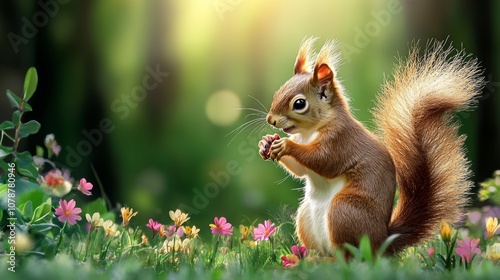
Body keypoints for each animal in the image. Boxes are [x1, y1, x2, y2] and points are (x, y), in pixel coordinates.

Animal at [260, 37, 482, 256]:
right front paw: (266, 143)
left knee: (352, 256)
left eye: (299, 104)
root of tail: (382, 242)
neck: (309, 132)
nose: (270, 120)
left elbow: (323, 160)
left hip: (344, 211)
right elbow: (299, 170)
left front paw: (286, 145)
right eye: (278, 91)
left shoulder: (341, 140)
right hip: (305, 217)